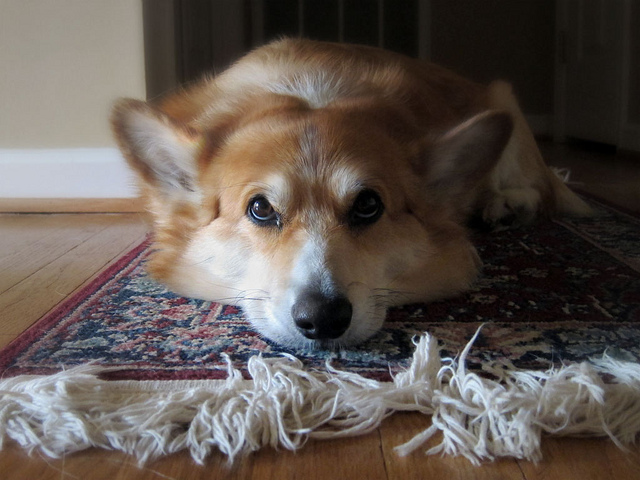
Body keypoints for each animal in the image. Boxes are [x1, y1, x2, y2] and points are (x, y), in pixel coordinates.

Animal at [112, 36, 592, 344]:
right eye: (260, 209)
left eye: (367, 205)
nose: (323, 319)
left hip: (505, 106)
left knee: (541, 190)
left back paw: (505, 205)